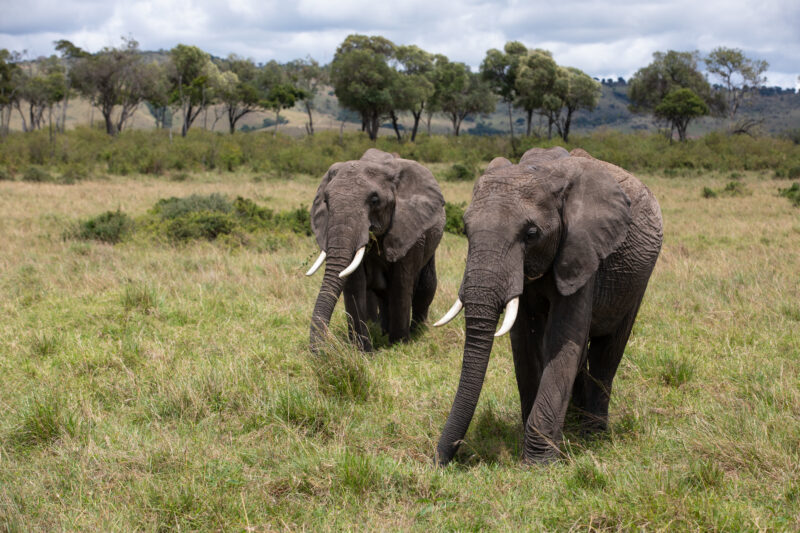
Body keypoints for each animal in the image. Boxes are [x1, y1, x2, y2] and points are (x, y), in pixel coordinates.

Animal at [307, 148, 445, 352]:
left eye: (374, 200)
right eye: (326, 201)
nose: (320, 350)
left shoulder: (409, 229)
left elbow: (401, 283)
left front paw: (399, 345)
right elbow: (355, 284)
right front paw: (363, 351)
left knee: (425, 284)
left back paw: (417, 330)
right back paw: (382, 329)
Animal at [433, 146, 662, 465]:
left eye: (531, 234)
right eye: (465, 230)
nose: (440, 460)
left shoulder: (582, 250)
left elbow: (562, 339)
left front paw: (538, 464)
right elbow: (525, 342)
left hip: (638, 278)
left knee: (607, 350)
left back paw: (592, 434)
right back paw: (573, 425)